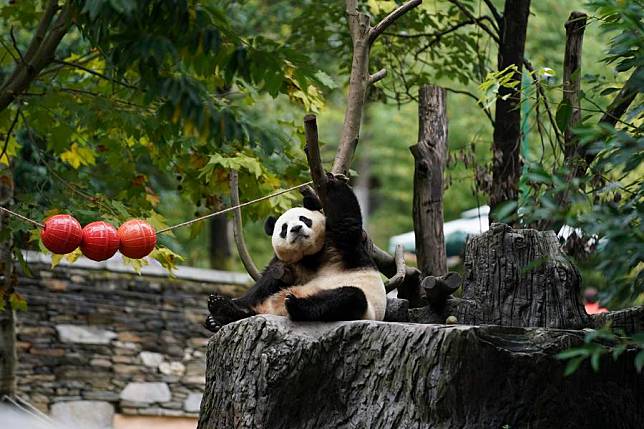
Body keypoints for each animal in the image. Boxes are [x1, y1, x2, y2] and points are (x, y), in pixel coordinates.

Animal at [206, 174, 384, 332]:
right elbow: (265, 282)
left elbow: (346, 220)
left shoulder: (341, 247)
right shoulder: (288, 264)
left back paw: (295, 305)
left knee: (348, 298)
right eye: (284, 228)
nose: (296, 228)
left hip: (364, 308)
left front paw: (333, 181)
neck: (309, 255)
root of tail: (273, 312)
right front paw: (224, 307)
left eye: (304, 219)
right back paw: (220, 312)